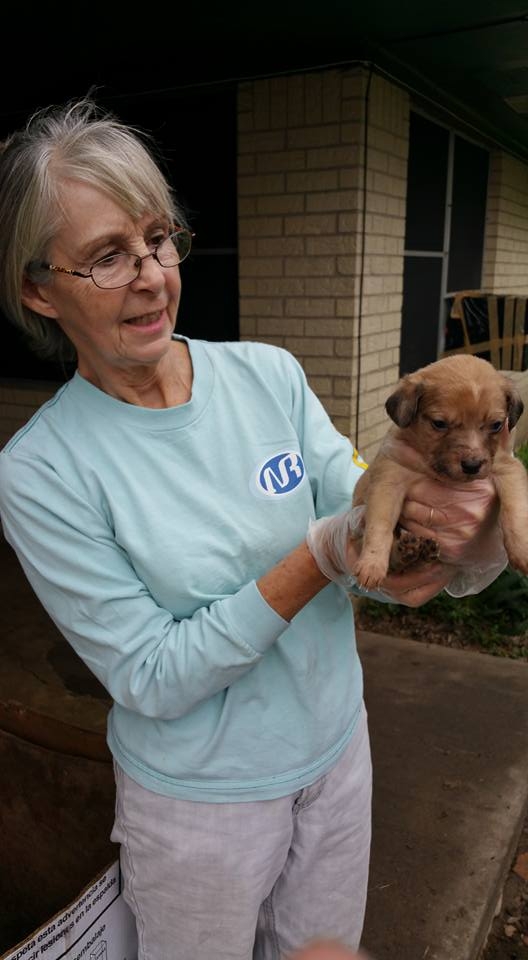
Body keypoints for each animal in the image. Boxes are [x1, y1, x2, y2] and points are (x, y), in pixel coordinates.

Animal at [350, 356, 528, 588]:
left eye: (496, 425)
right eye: (439, 423)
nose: (472, 466)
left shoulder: (508, 469)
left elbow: (515, 513)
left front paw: (523, 550)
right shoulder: (389, 481)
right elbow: (379, 526)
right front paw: (372, 564)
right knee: (397, 561)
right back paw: (406, 551)